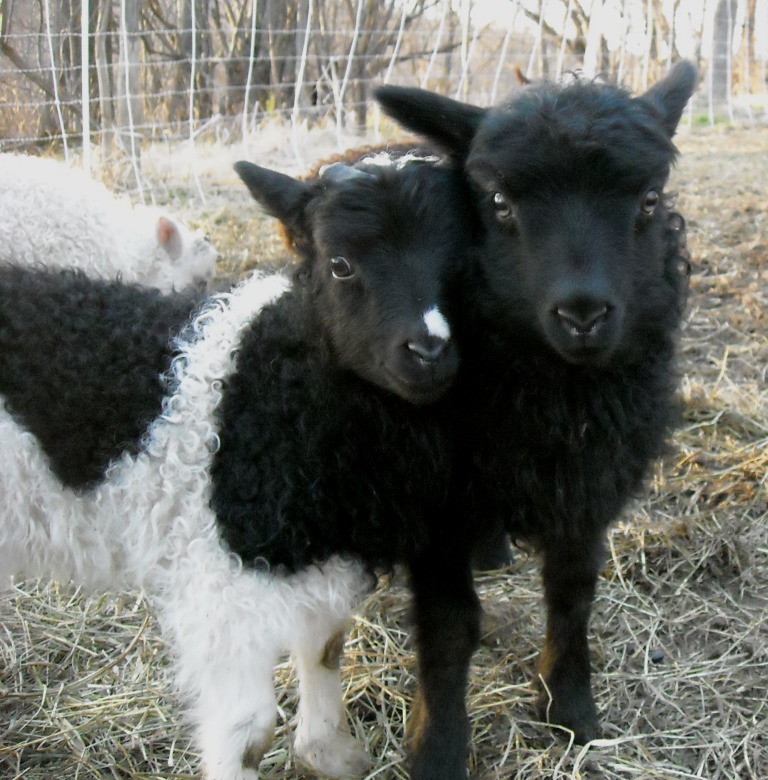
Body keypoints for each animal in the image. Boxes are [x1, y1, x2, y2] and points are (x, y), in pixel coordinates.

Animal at [376, 60, 698, 772]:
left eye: (649, 201)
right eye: (498, 203)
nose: (582, 313)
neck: (559, 394)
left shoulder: (589, 484)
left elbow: (572, 594)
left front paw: (571, 708)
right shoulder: (439, 499)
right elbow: (449, 627)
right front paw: (437, 748)